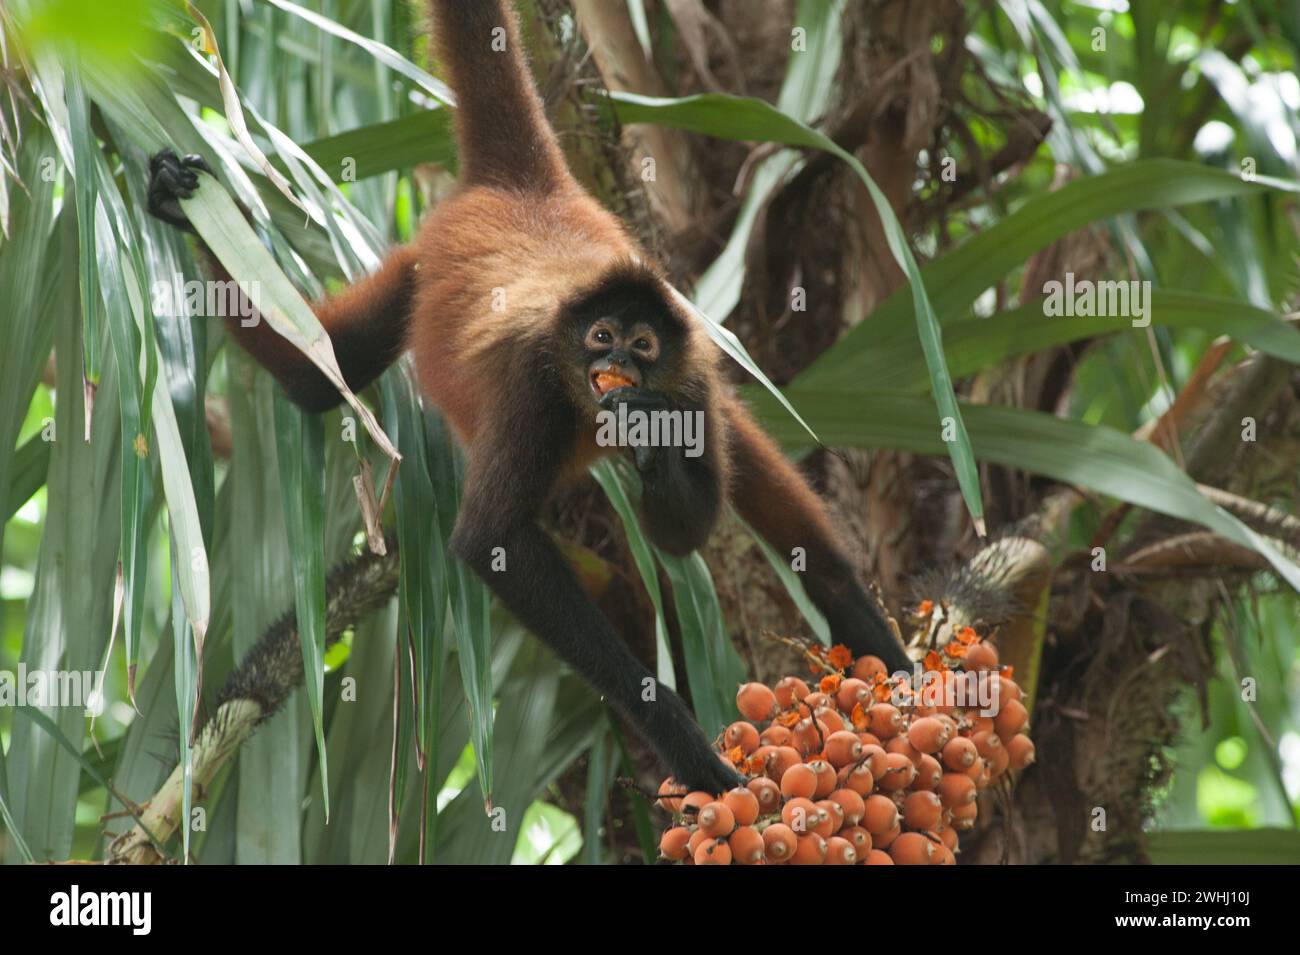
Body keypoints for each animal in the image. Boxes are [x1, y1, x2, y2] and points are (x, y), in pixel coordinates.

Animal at [147, 0, 909, 795]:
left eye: (641, 346)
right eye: (601, 336)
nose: (616, 364)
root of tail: (531, 192)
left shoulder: (691, 376)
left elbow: (680, 537)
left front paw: (654, 440)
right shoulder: (533, 380)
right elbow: (492, 539)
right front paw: (685, 743)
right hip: (427, 267)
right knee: (324, 372)